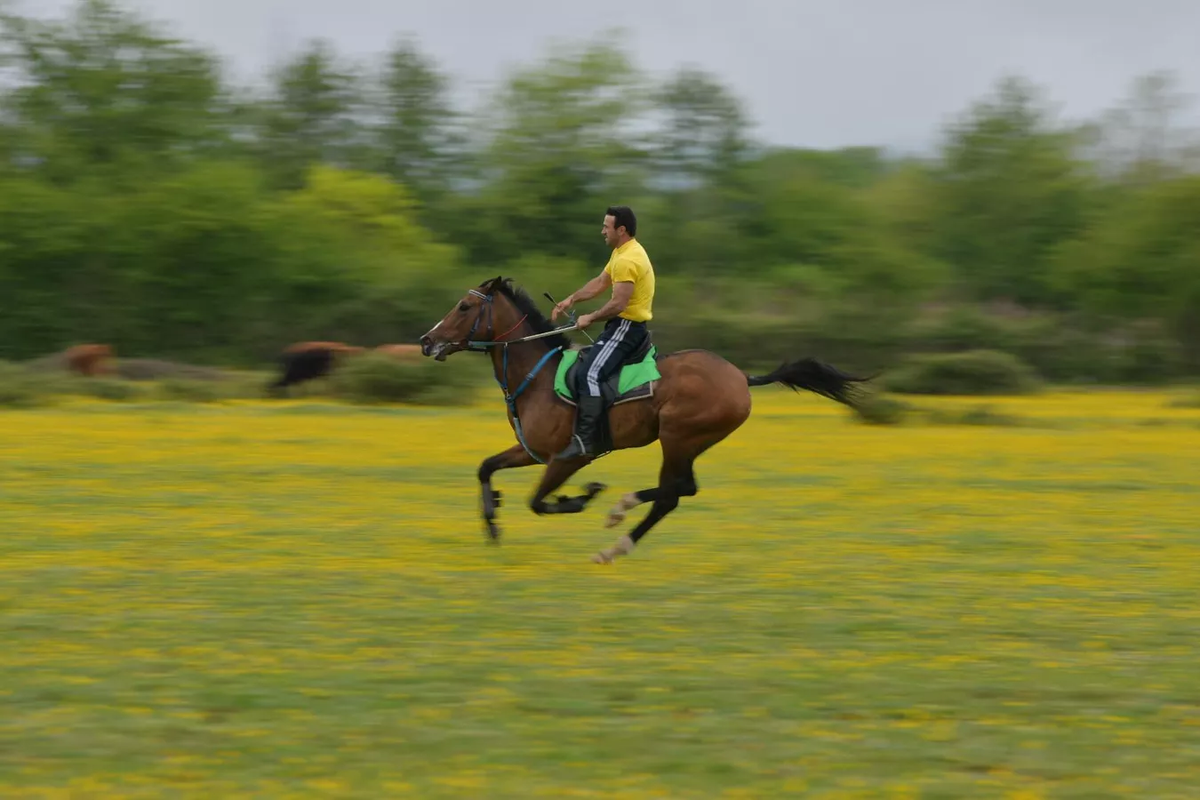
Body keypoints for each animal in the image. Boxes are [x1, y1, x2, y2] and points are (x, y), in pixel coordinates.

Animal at [422, 278, 873, 566]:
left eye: (464, 307)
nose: (427, 341)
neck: (540, 376)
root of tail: (741, 377)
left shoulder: (570, 457)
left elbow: (537, 501)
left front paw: (581, 498)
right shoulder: (532, 451)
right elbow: (486, 467)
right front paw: (492, 522)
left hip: (677, 436)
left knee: (673, 494)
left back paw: (615, 541)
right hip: (685, 442)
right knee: (683, 488)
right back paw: (621, 513)